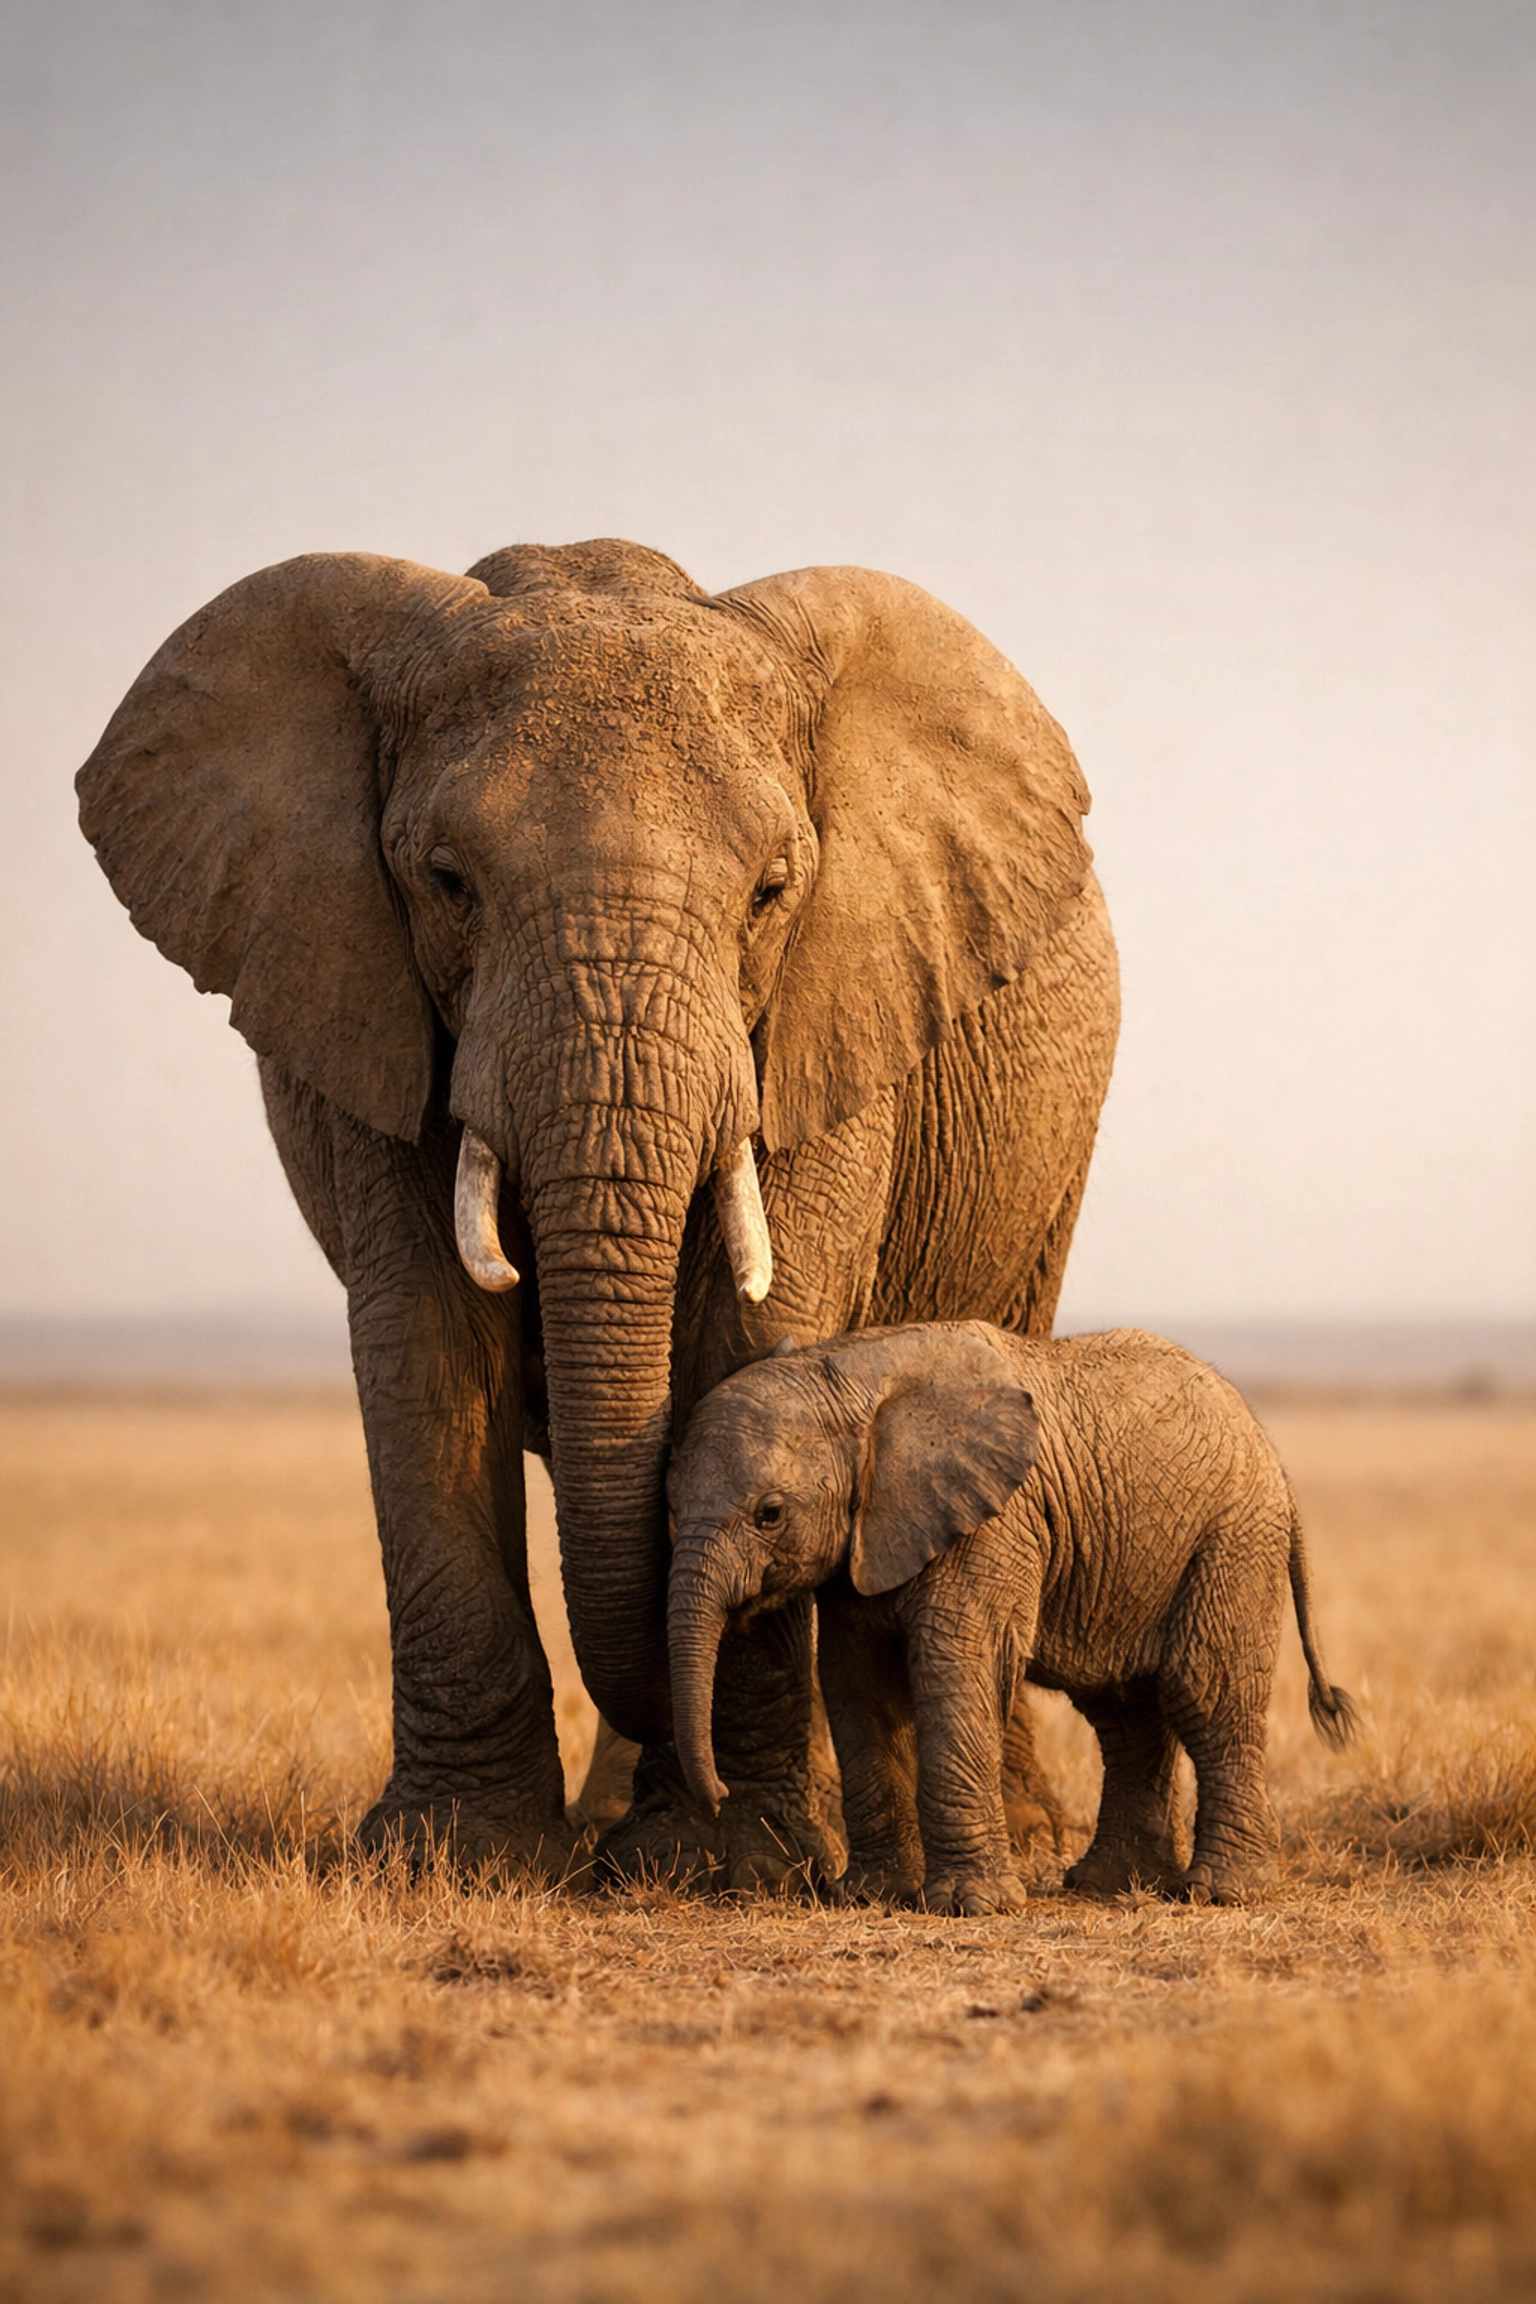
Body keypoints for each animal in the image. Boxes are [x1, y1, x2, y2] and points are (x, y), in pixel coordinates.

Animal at [76, 538, 1119, 1886]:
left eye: (773, 890)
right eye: (445, 881)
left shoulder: (830, 1013)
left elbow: (755, 1339)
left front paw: (729, 1868)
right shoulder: (363, 1000)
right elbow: (426, 1347)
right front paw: (454, 1859)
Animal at [667, 1322, 1356, 1912]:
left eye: (770, 1514)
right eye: (669, 1504)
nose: (718, 1795)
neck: (850, 1373)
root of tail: (1271, 1451)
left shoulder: (992, 1524)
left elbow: (955, 1668)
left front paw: (970, 1906)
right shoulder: (863, 1544)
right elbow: (856, 1685)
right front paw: (869, 1896)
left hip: (1233, 1537)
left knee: (1205, 1692)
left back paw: (1221, 1892)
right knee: (1123, 1712)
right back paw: (1108, 1885)